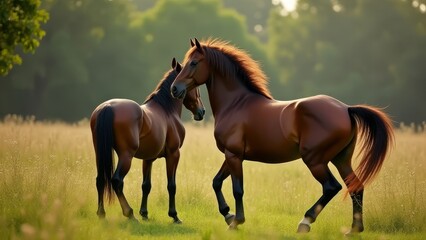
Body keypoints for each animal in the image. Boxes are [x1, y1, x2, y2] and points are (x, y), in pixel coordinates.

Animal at [90, 58, 205, 223]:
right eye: (195, 87)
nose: (201, 112)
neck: (167, 111)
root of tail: (108, 106)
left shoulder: (148, 158)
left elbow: (146, 185)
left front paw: (144, 213)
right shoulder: (173, 154)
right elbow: (172, 185)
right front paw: (174, 215)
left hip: (100, 153)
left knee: (100, 180)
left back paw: (101, 214)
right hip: (126, 156)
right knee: (117, 181)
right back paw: (129, 213)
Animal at [171, 38, 396, 233]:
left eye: (193, 63)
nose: (175, 88)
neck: (236, 104)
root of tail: (346, 109)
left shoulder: (234, 155)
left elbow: (237, 189)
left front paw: (236, 221)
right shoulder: (232, 155)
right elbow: (216, 182)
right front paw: (228, 215)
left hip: (315, 160)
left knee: (331, 187)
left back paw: (305, 222)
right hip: (341, 159)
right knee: (355, 187)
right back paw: (354, 229)